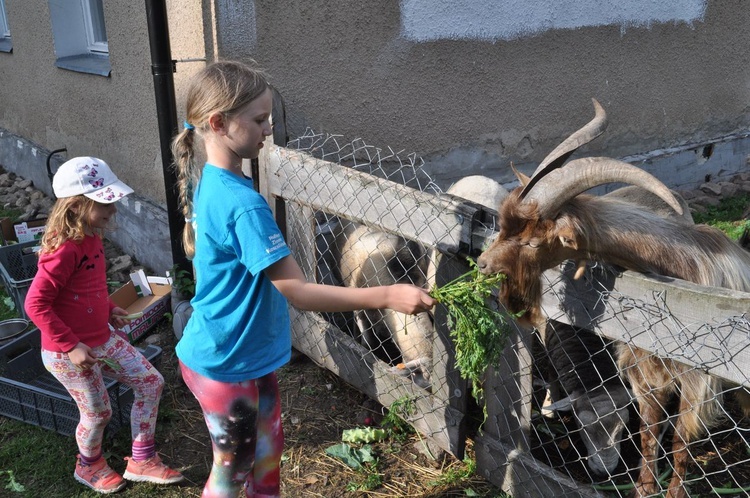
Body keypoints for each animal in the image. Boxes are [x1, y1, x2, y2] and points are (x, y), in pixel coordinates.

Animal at [478, 99, 748, 496]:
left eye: (531, 241)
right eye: (503, 226)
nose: (482, 263)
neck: (682, 267)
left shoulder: (697, 379)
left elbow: (680, 442)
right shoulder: (645, 368)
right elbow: (649, 433)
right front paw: (644, 488)